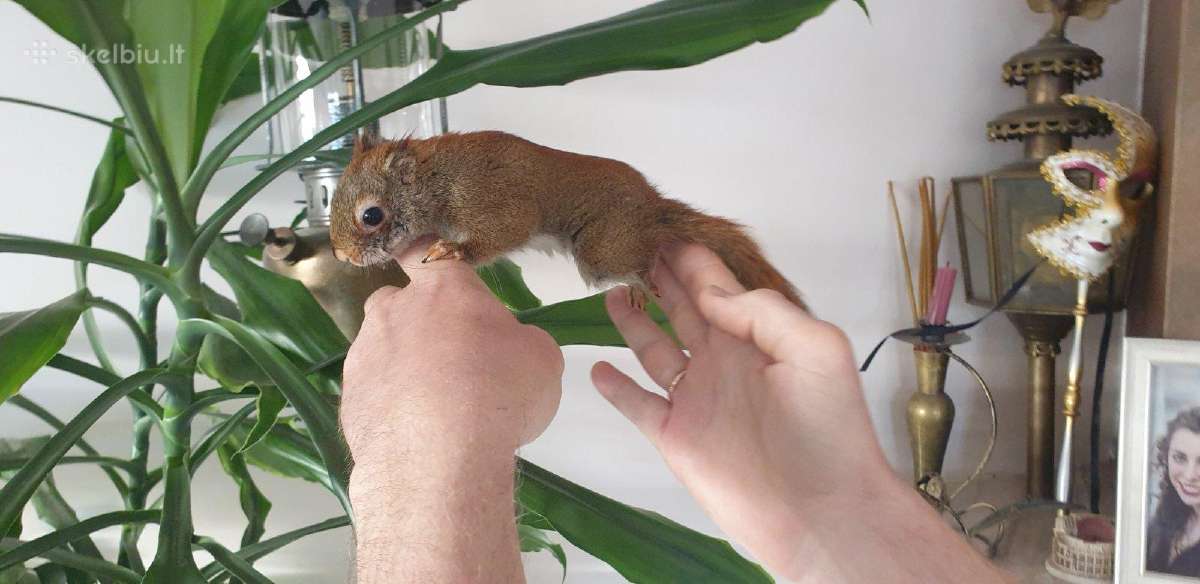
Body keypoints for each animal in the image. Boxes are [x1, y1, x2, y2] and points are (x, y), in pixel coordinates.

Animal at [329, 131, 804, 309]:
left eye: (372, 215)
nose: (343, 256)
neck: (436, 178)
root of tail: (653, 209)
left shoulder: (492, 202)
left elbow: (505, 229)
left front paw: (455, 249)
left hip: (602, 249)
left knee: (639, 261)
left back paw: (641, 282)